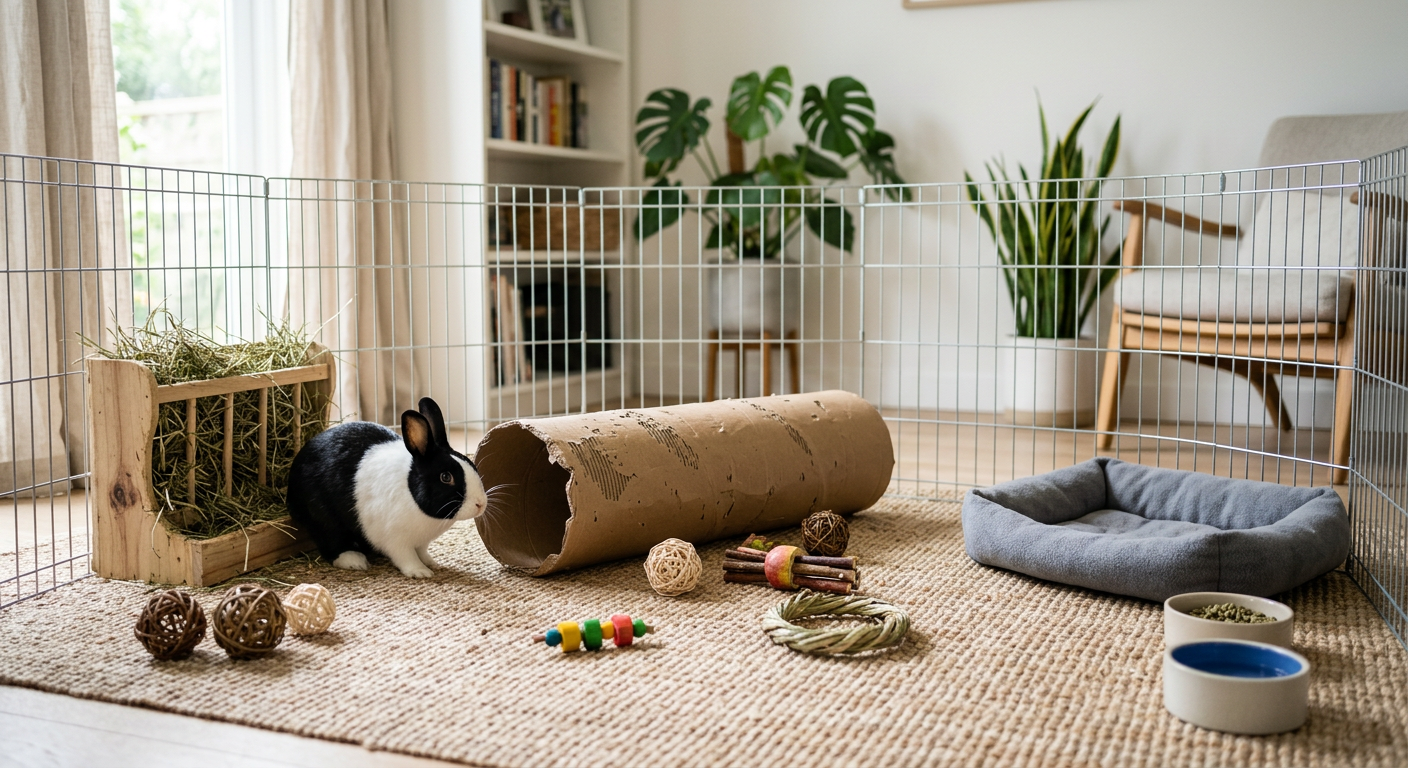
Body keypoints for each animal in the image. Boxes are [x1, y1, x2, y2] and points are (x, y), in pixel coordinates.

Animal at [286, 397, 487, 578]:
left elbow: (422, 552)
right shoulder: (396, 539)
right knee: (331, 542)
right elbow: (406, 557)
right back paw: (354, 561)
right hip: (324, 518)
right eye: (446, 477)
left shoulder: (422, 542)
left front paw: (432, 563)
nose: (481, 504)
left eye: (472, 464)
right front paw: (421, 572)